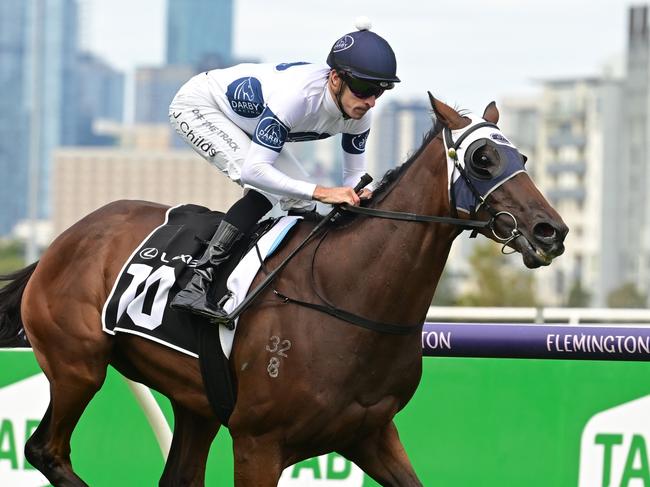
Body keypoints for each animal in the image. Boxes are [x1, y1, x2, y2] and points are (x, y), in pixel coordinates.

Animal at [0, 94, 560, 484]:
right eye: (483, 158)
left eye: (524, 157)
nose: (550, 230)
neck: (344, 294)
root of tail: (62, 241)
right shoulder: (258, 444)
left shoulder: (371, 433)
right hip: (78, 366)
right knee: (45, 450)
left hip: (196, 402)